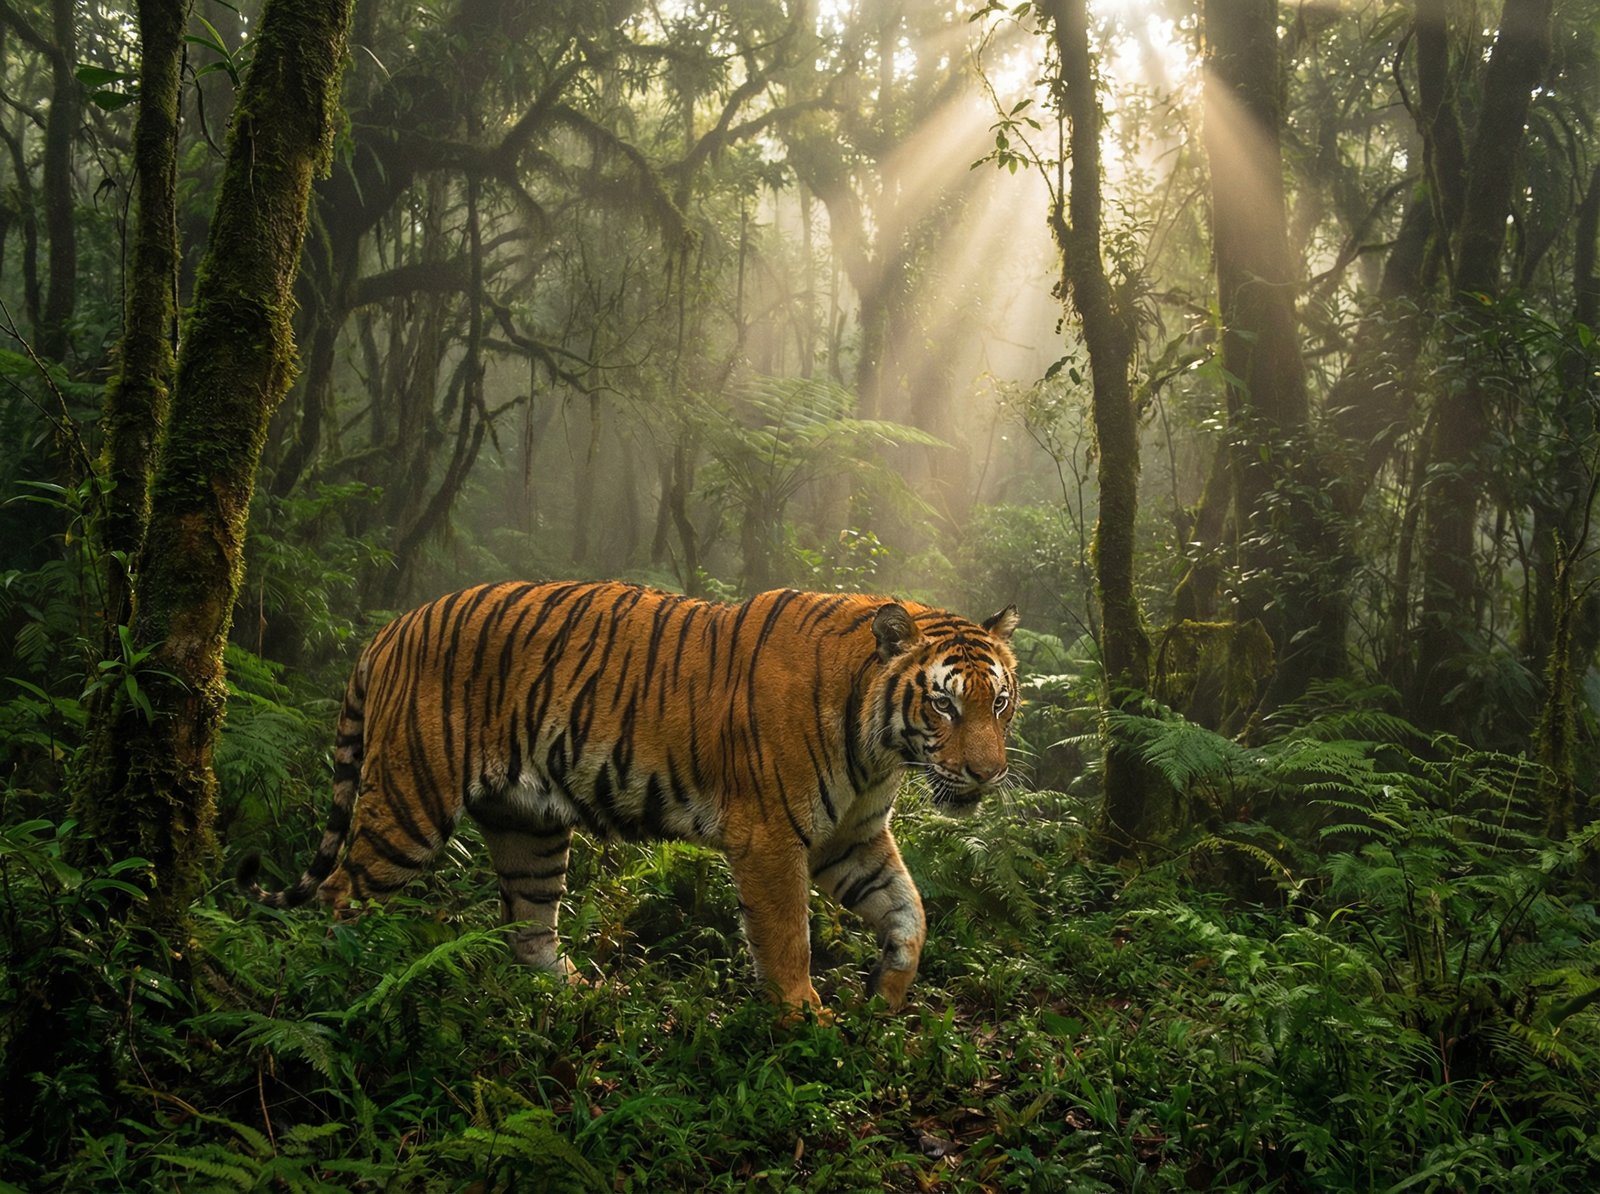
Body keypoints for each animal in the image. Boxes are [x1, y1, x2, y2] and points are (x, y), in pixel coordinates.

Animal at [239, 581, 1020, 1013]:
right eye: (945, 705)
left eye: (1001, 702)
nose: (986, 774)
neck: (880, 751)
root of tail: (392, 628)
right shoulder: (772, 838)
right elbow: (787, 939)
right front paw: (807, 1020)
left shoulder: (848, 838)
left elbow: (911, 913)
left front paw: (883, 1000)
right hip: (409, 802)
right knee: (343, 894)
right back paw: (352, 987)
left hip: (529, 828)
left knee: (528, 930)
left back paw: (580, 999)